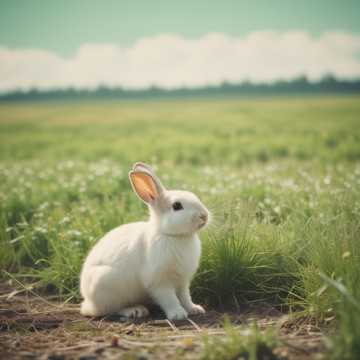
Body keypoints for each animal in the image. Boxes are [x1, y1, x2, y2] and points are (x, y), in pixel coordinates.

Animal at [79, 162, 208, 320]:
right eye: (177, 206)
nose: (204, 216)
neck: (172, 236)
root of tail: (87, 300)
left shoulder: (182, 282)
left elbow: (185, 297)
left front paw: (195, 309)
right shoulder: (159, 281)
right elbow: (169, 298)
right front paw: (178, 314)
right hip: (105, 285)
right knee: (108, 309)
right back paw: (135, 311)